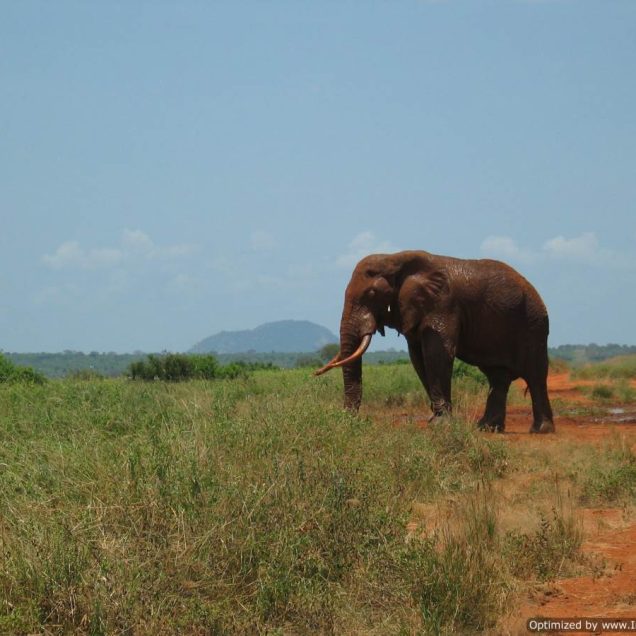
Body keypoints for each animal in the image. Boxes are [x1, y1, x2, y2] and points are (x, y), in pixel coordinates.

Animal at [316, 251, 556, 434]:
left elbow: (437, 354)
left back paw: (540, 430)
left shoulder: (442, 304)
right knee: (497, 377)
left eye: (373, 293)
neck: (395, 258)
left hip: (533, 324)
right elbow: (418, 358)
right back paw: (487, 428)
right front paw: (437, 420)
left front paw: (440, 424)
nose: (349, 418)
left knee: (535, 375)